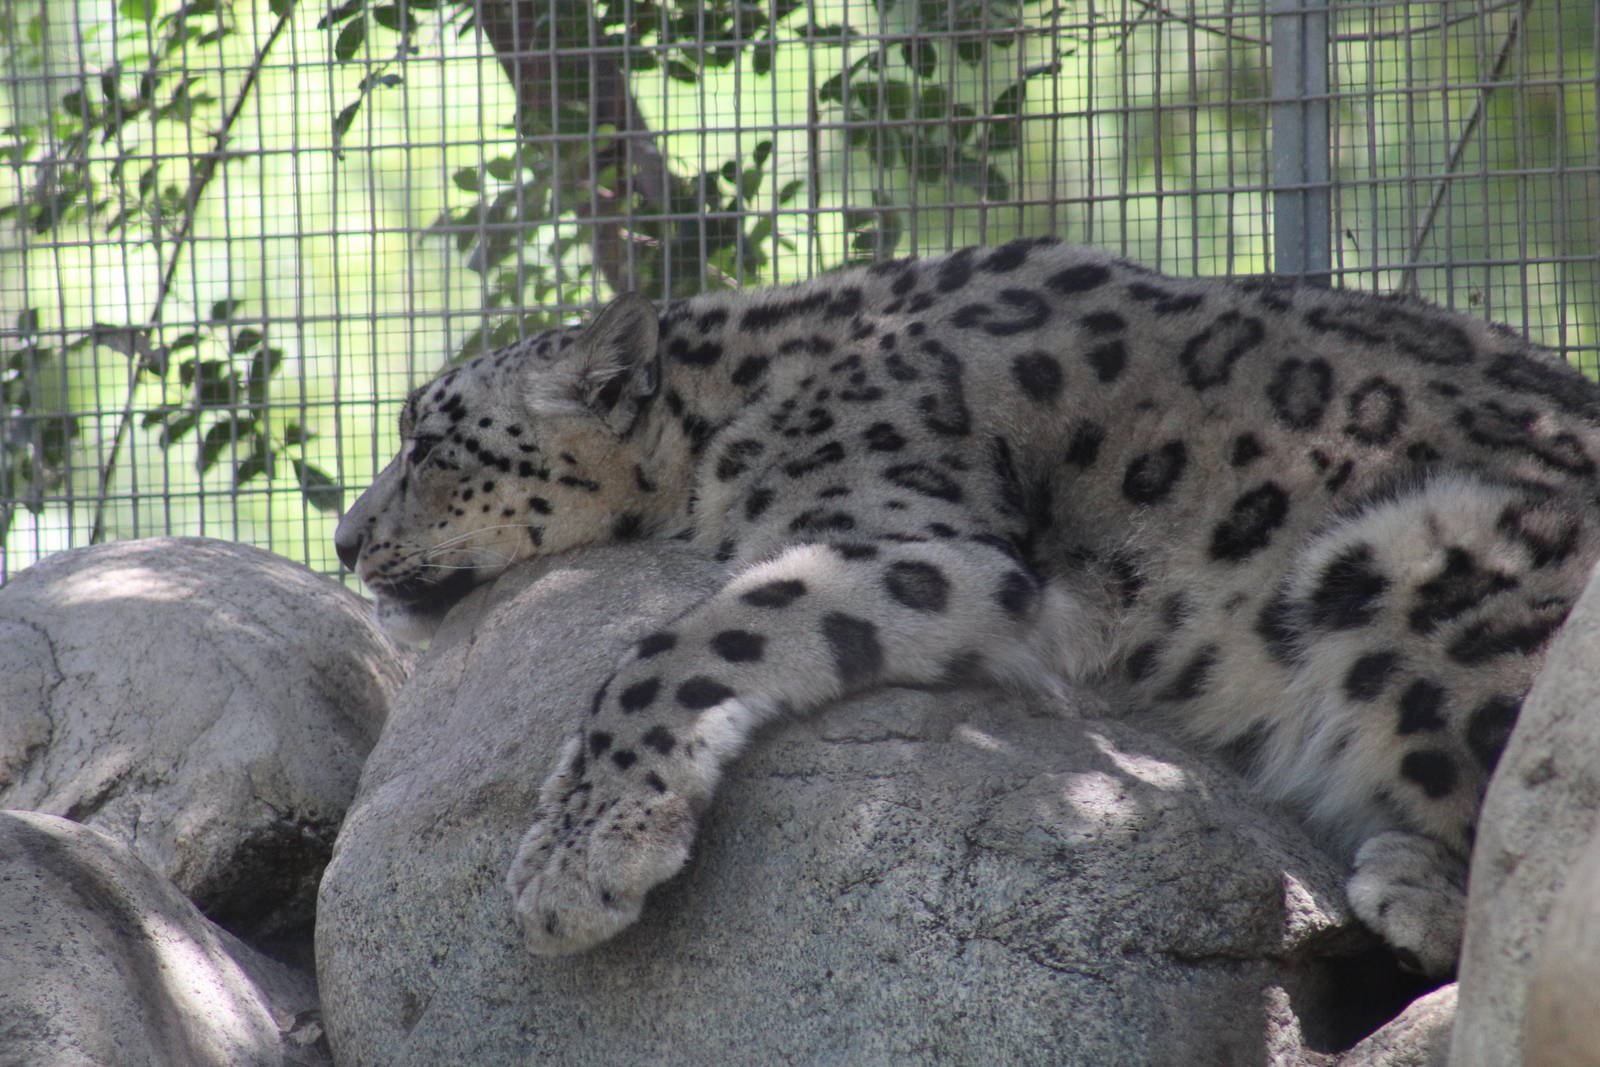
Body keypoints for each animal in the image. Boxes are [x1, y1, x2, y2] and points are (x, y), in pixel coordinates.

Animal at [334, 238, 1600, 976]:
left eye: (430, 441)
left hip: (1414, 546)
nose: (344, 538)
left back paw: (1412, 887)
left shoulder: (923, 540)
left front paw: (579, 856)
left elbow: (688, 636)